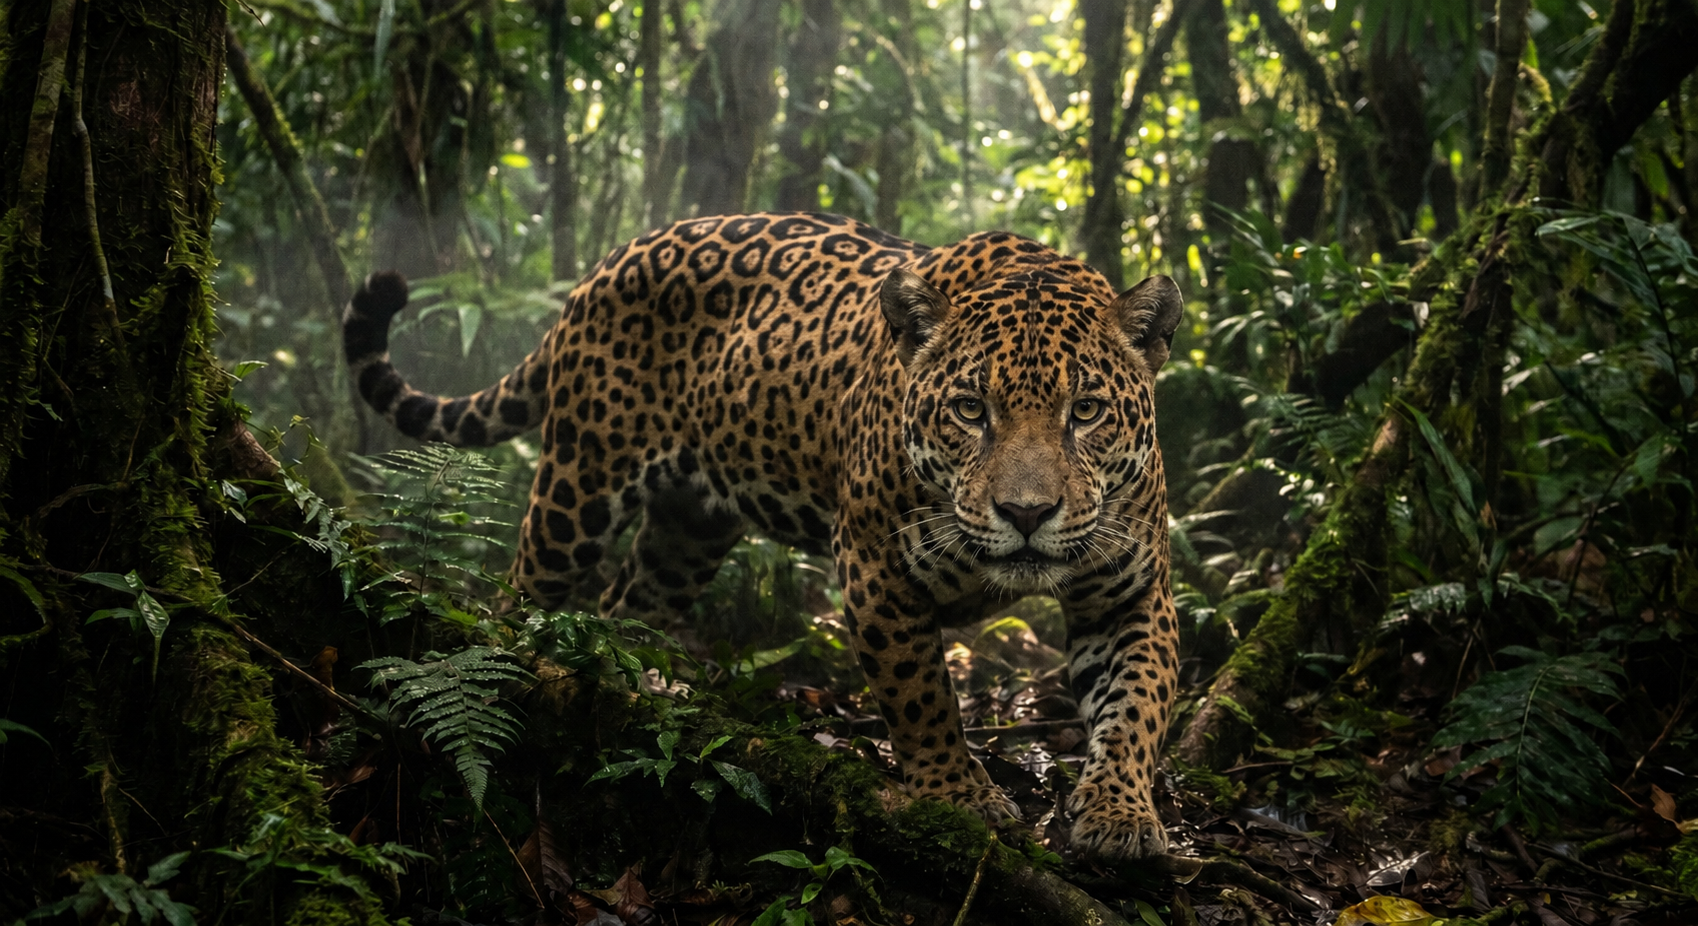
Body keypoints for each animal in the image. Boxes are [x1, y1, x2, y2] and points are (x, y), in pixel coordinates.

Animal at [343, 212, 1184, 859]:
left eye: (1086, 412)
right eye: (971, 410)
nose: (1027, 514)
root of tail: (608, 262)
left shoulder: (1130, 589)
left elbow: (1137, 703)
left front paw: (1119, 813)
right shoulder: (875, 568)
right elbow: (921, 698)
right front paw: (958, 798)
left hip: (688, 530)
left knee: (626, 603)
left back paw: (636, 683)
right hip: (578, 490)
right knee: (517, 596)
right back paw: (510, 673)